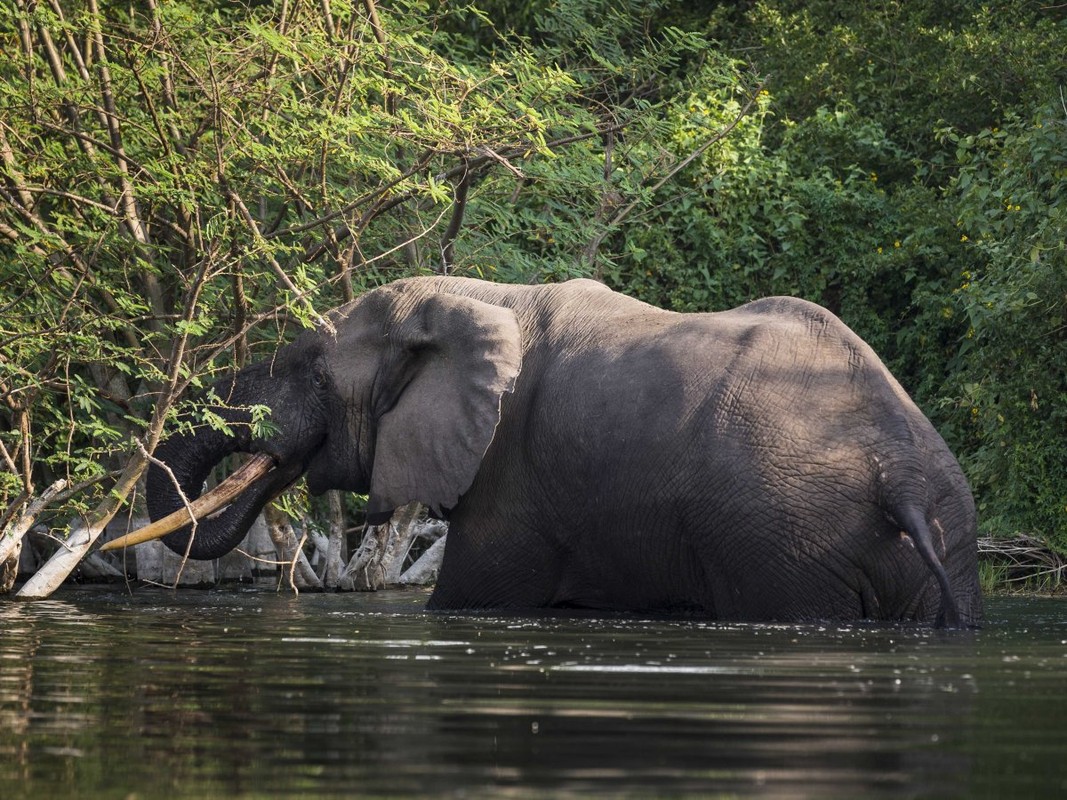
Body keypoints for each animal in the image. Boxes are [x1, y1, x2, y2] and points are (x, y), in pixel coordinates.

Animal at [108, 275, 981, 627]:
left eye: (305, 370)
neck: (473, 297)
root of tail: (900, 473)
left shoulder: (510, 475)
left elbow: (469, 598)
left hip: (781, 533)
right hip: (938, 533)